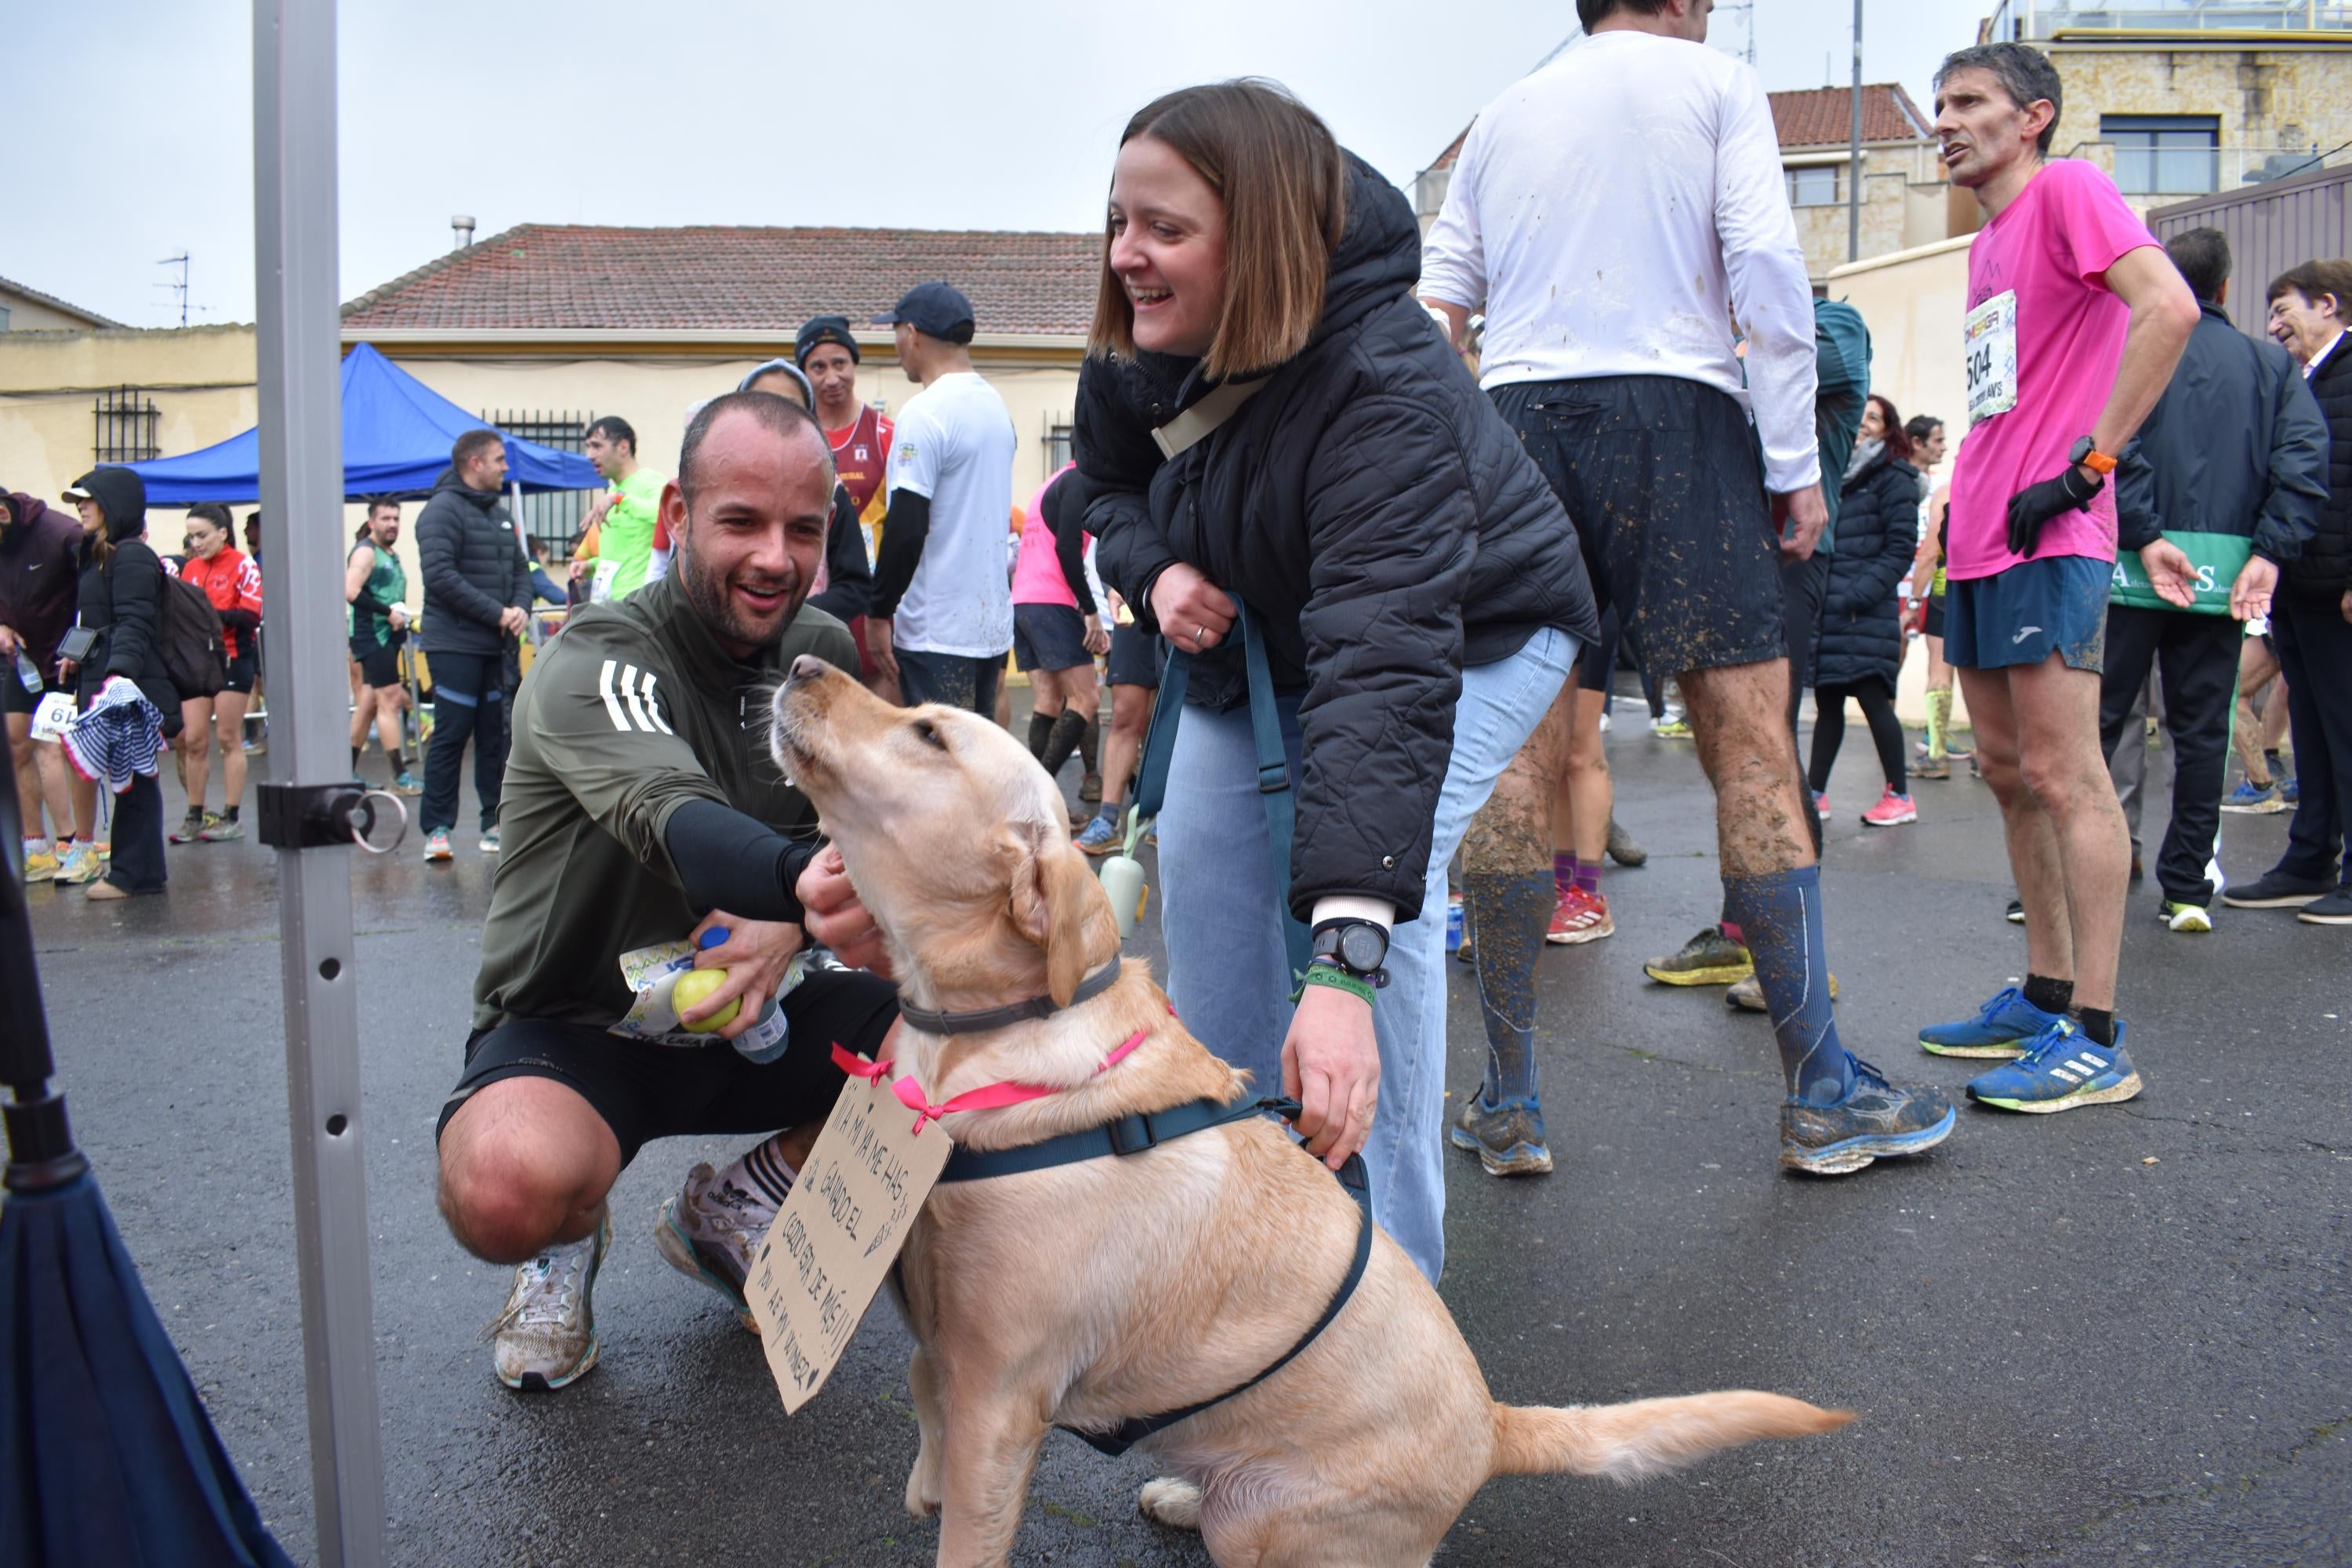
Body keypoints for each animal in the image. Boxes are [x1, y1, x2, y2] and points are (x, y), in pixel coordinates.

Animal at [771, 658, 1853, 1568]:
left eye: (929, 732)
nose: (802, 661)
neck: (981, 1039)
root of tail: (1494, 1423)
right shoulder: (941, 1329)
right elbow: (923, 1392)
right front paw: (922, 1478)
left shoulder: (1004, 1397)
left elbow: (967, 1521)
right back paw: (1178, 1491)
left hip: (1271, 1522)